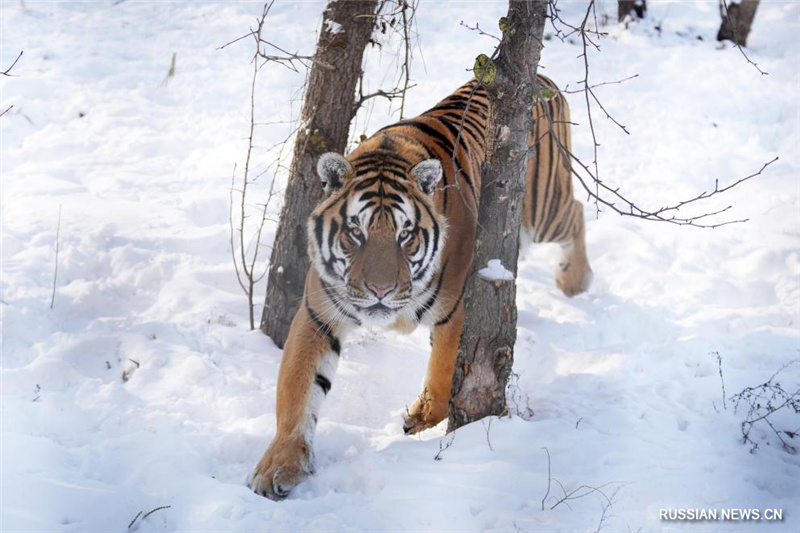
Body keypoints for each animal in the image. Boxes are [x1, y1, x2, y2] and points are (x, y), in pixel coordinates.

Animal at [250, 74, 592, 498]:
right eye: (355, 232)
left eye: (406, 234)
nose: (380, 291)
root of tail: (545, 81)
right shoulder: (319, 315)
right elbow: (296, 392)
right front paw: (278, 466)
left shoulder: (458, 307)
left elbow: (444, 377)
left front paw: (419, 418)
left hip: (544, 211)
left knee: (576, 212)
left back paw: (574, 282)